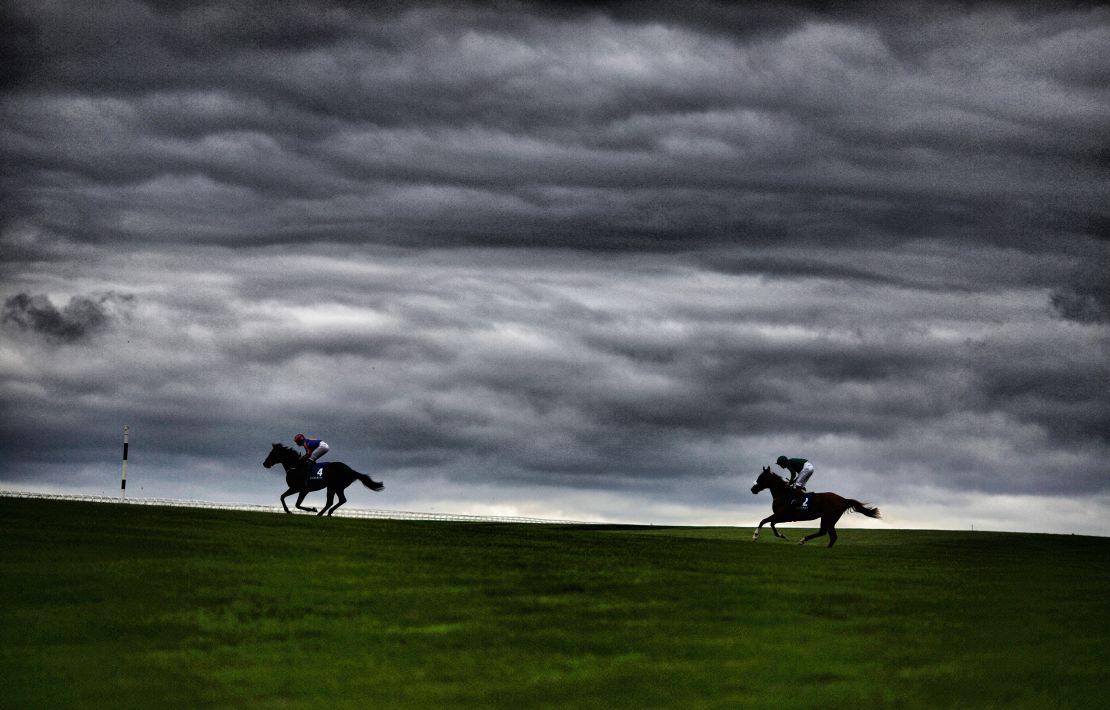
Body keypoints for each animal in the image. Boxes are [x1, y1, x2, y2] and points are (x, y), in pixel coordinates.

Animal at [750, 465, 879, 550]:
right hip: (829, 519)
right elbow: (769, 522)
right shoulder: (783, 517)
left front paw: (756, 536)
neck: (783, 494)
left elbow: (766, 521)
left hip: (828, 517)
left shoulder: (783, 515)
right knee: (830, 535)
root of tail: (843, 499)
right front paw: (778, 535)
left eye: (762, 477)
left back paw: (804, 540)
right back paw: (825, 546)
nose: (753, 489)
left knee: (825, 533)